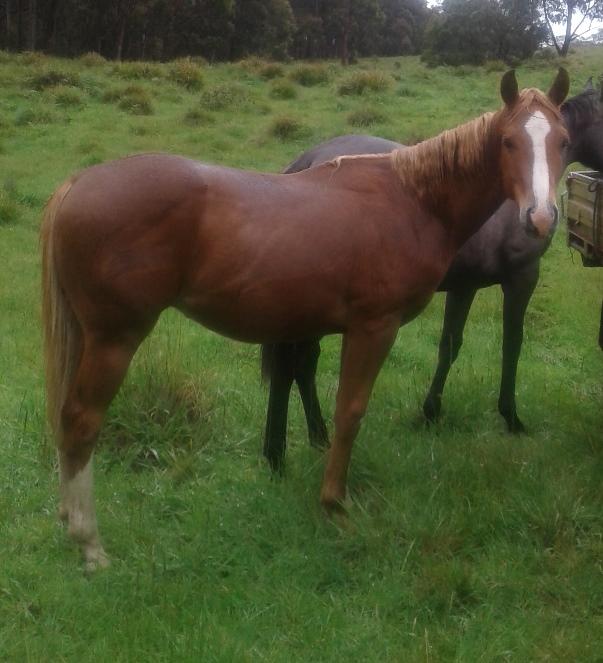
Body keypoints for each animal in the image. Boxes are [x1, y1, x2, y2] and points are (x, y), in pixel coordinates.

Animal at [261, 77, 602, 472]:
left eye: (562, 140)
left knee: (304, 362)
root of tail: (307, 161)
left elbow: (449, 345)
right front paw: (511, 416)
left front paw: (430, 412)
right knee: (290, 365)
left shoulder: (465, 286)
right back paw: (277, 456)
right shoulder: (521, 279)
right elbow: (512, 344)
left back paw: (318, 437)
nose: (541, 217)